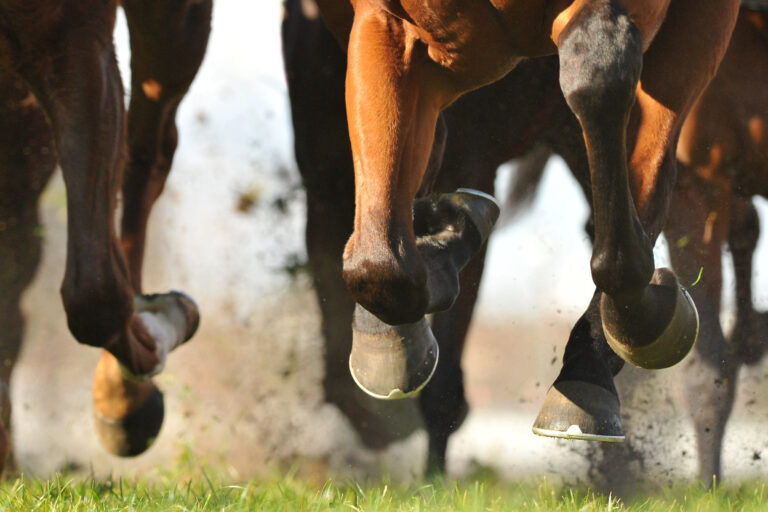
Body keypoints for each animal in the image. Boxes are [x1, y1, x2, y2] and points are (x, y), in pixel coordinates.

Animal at [0, 0, 211, 473]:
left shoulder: (68, 32)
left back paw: (126, 396)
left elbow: (93, 296)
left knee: (146, 151)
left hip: (172, 26)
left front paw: (163, 321)